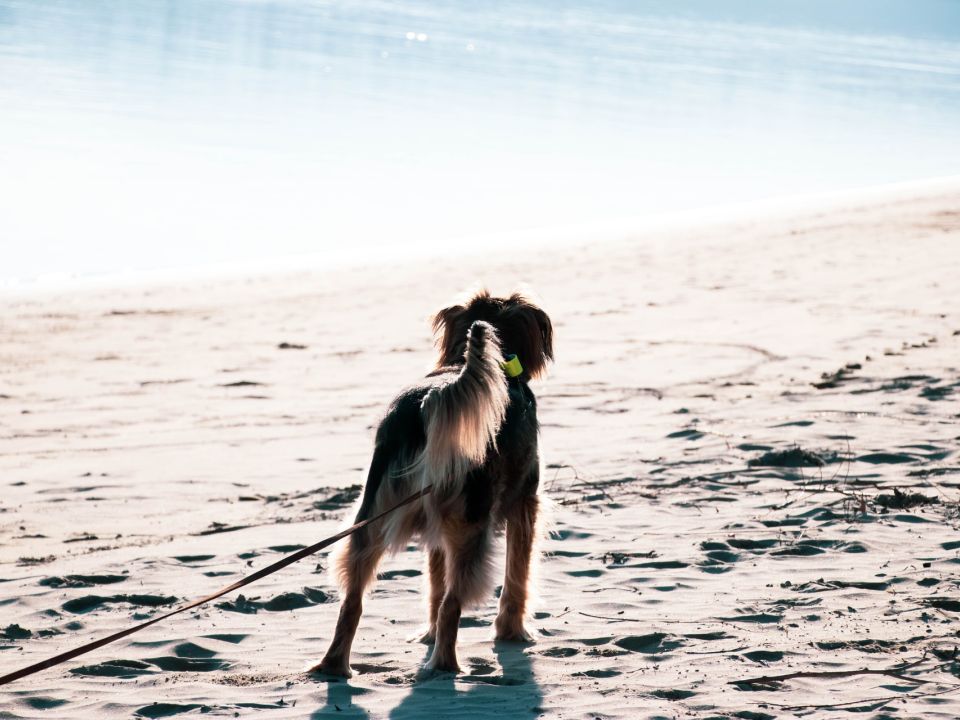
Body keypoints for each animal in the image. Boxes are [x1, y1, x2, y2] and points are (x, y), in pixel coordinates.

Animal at [314, 288, 556, 676]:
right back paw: (445, 664)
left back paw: (334, 666)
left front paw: (427, 634)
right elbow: (517, 575)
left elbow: (434, 580)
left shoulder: (438, 528)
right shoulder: (524, 503)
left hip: (372, 516)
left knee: (352, 599)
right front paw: (513, 631)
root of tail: (427, 405)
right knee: (452, 602)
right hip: (473, 524)